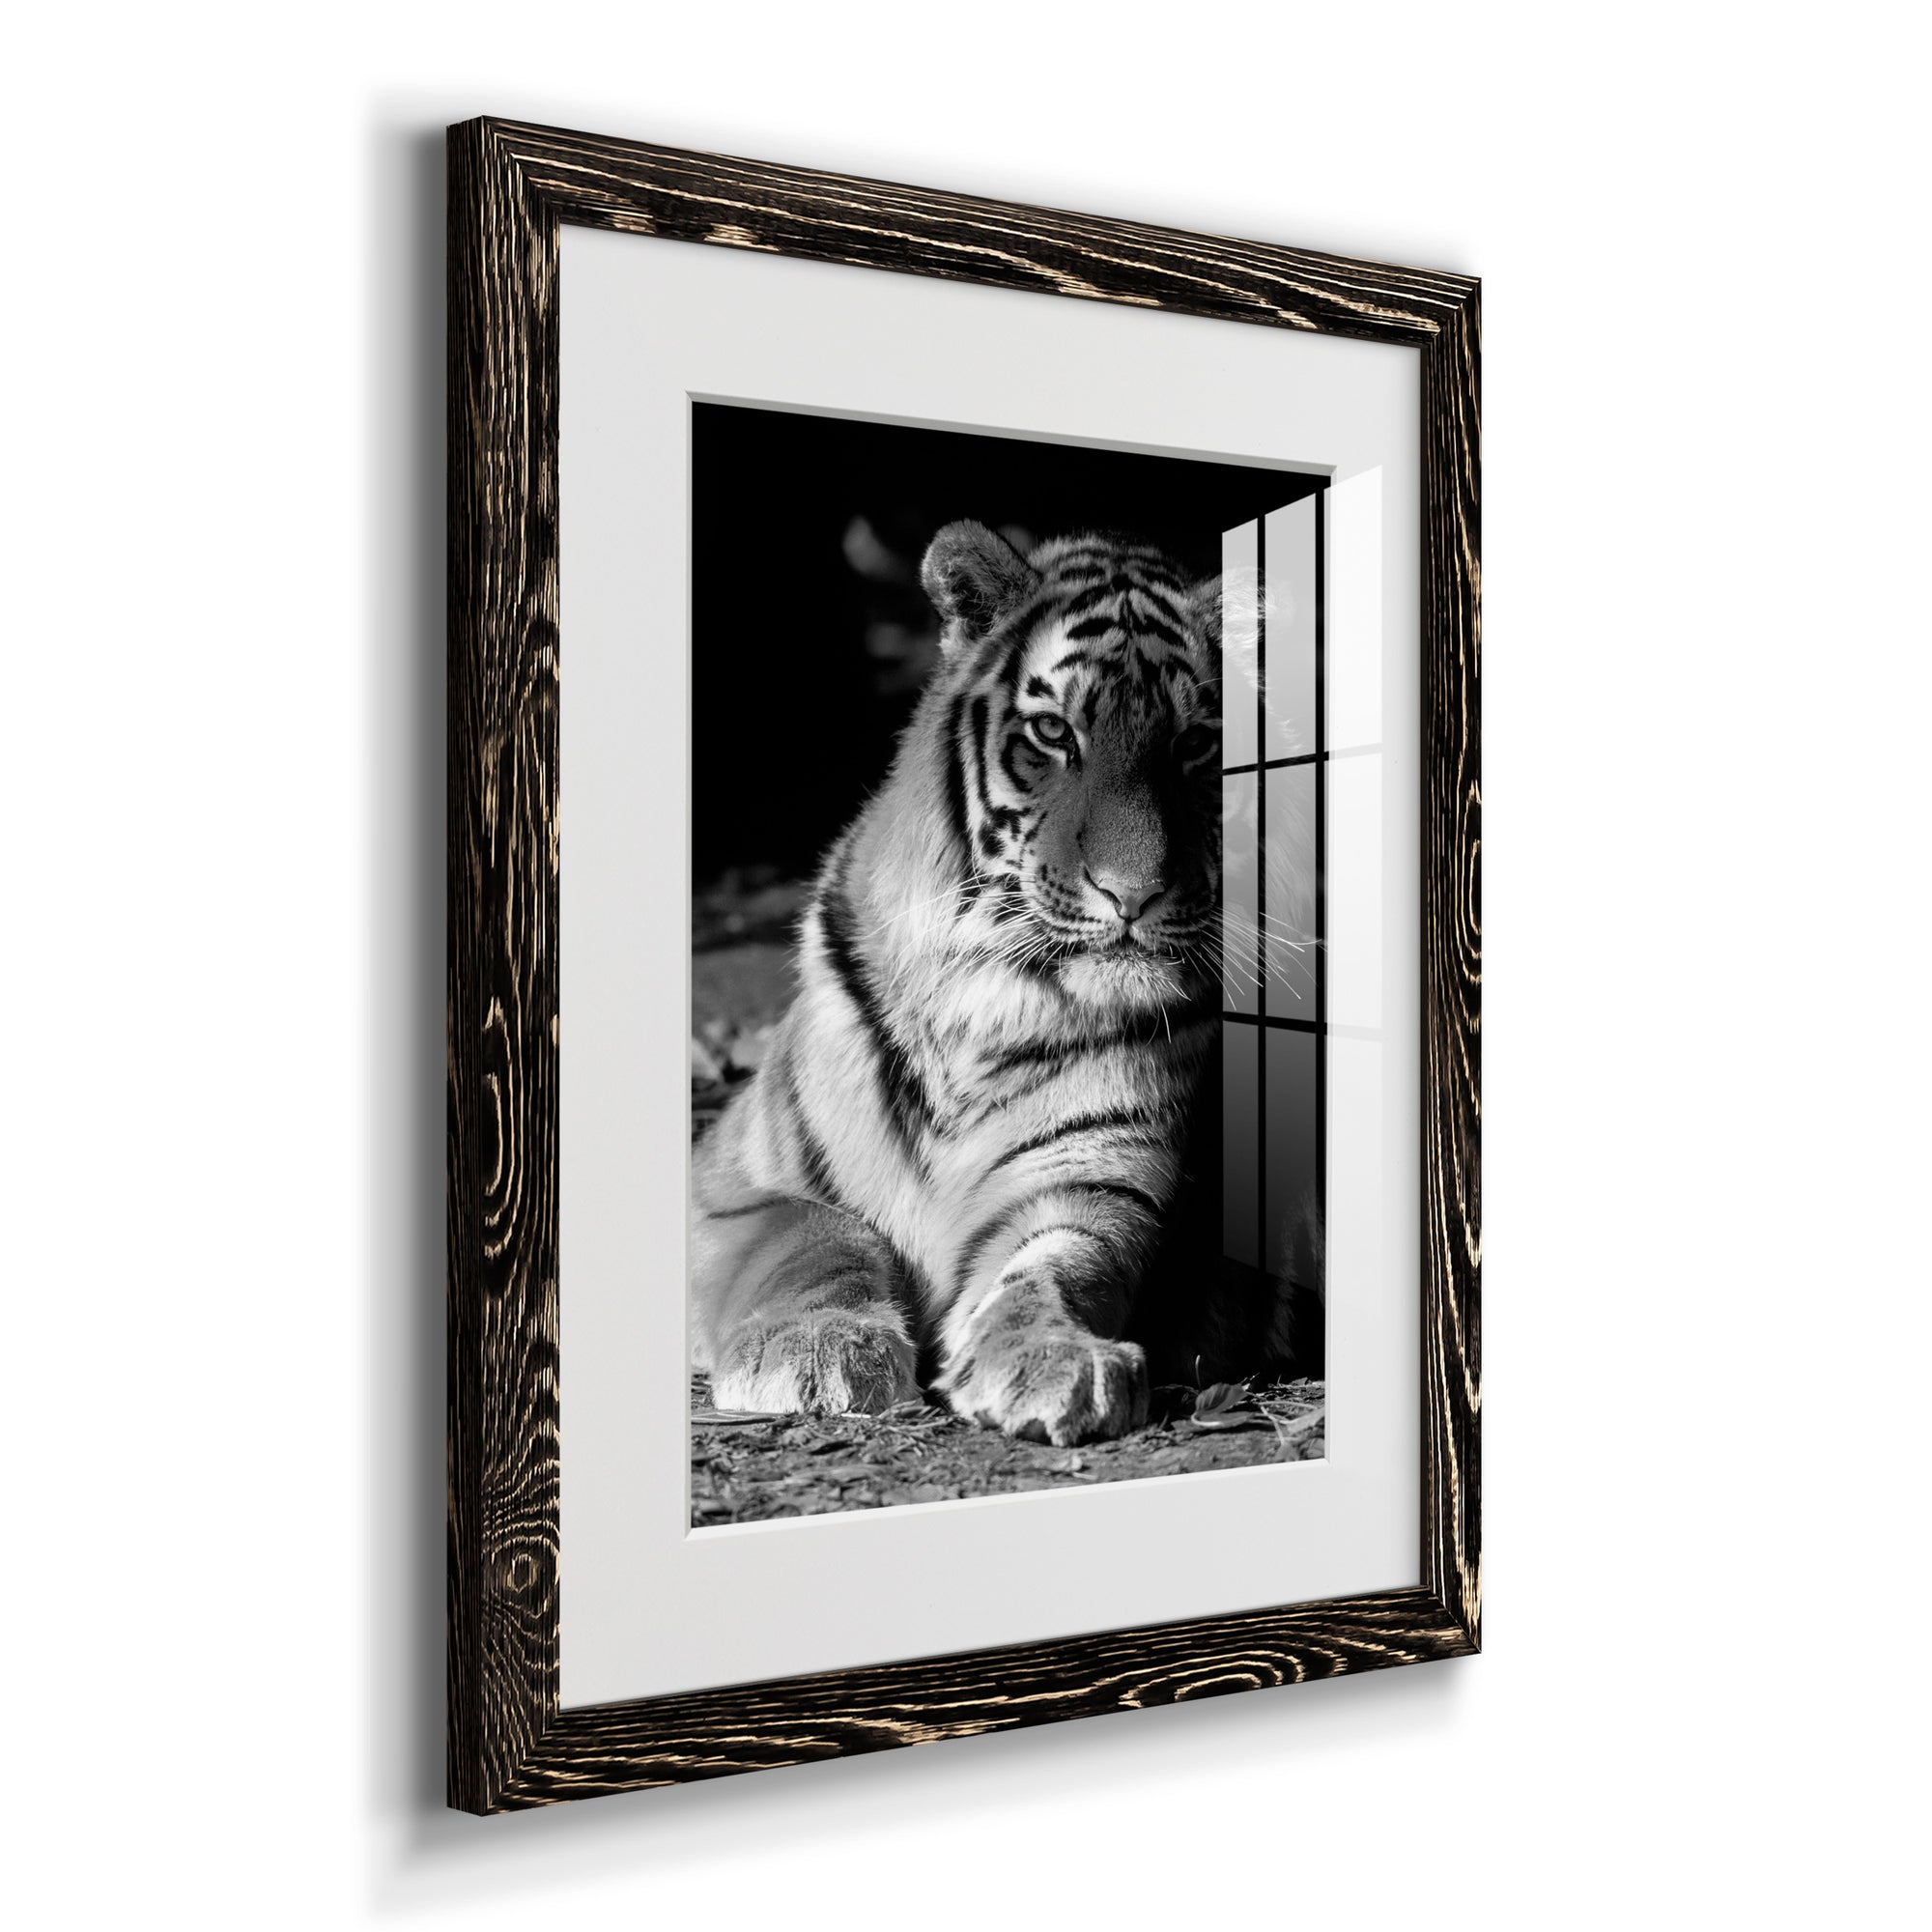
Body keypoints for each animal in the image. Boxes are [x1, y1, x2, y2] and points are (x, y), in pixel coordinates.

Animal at [690, 520, 1245, 1446]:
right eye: (1054, 732)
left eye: (1196, 744)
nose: (1134, 894)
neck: (989, 998)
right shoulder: (732, 1185)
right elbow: (818, 1233)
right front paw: (816, 1349)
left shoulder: (1090, 1183)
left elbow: (1055, 1269)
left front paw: (1055, 1360)